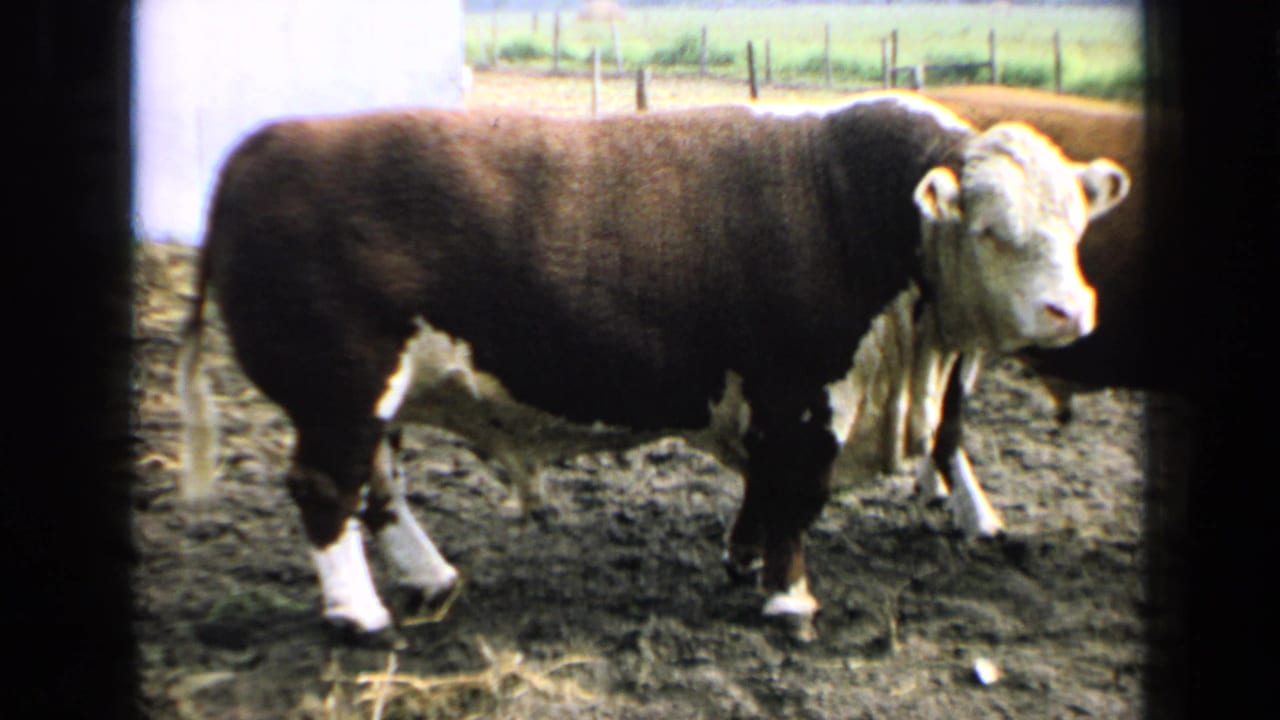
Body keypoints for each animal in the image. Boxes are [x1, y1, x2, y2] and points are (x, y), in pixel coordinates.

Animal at [176, 90, 1130, 643]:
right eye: (993, 230)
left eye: (1078, 227)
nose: (1073, 311)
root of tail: (264, 144)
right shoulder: (803, 391)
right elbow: (795, 499)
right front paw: (789, 599)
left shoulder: (766, 398)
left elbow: (761, 491)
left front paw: (744, 561)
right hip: (339, 388)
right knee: (326, 491)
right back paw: (361, 614)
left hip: (376, 397)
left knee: (380, 486)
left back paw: (428, 575)